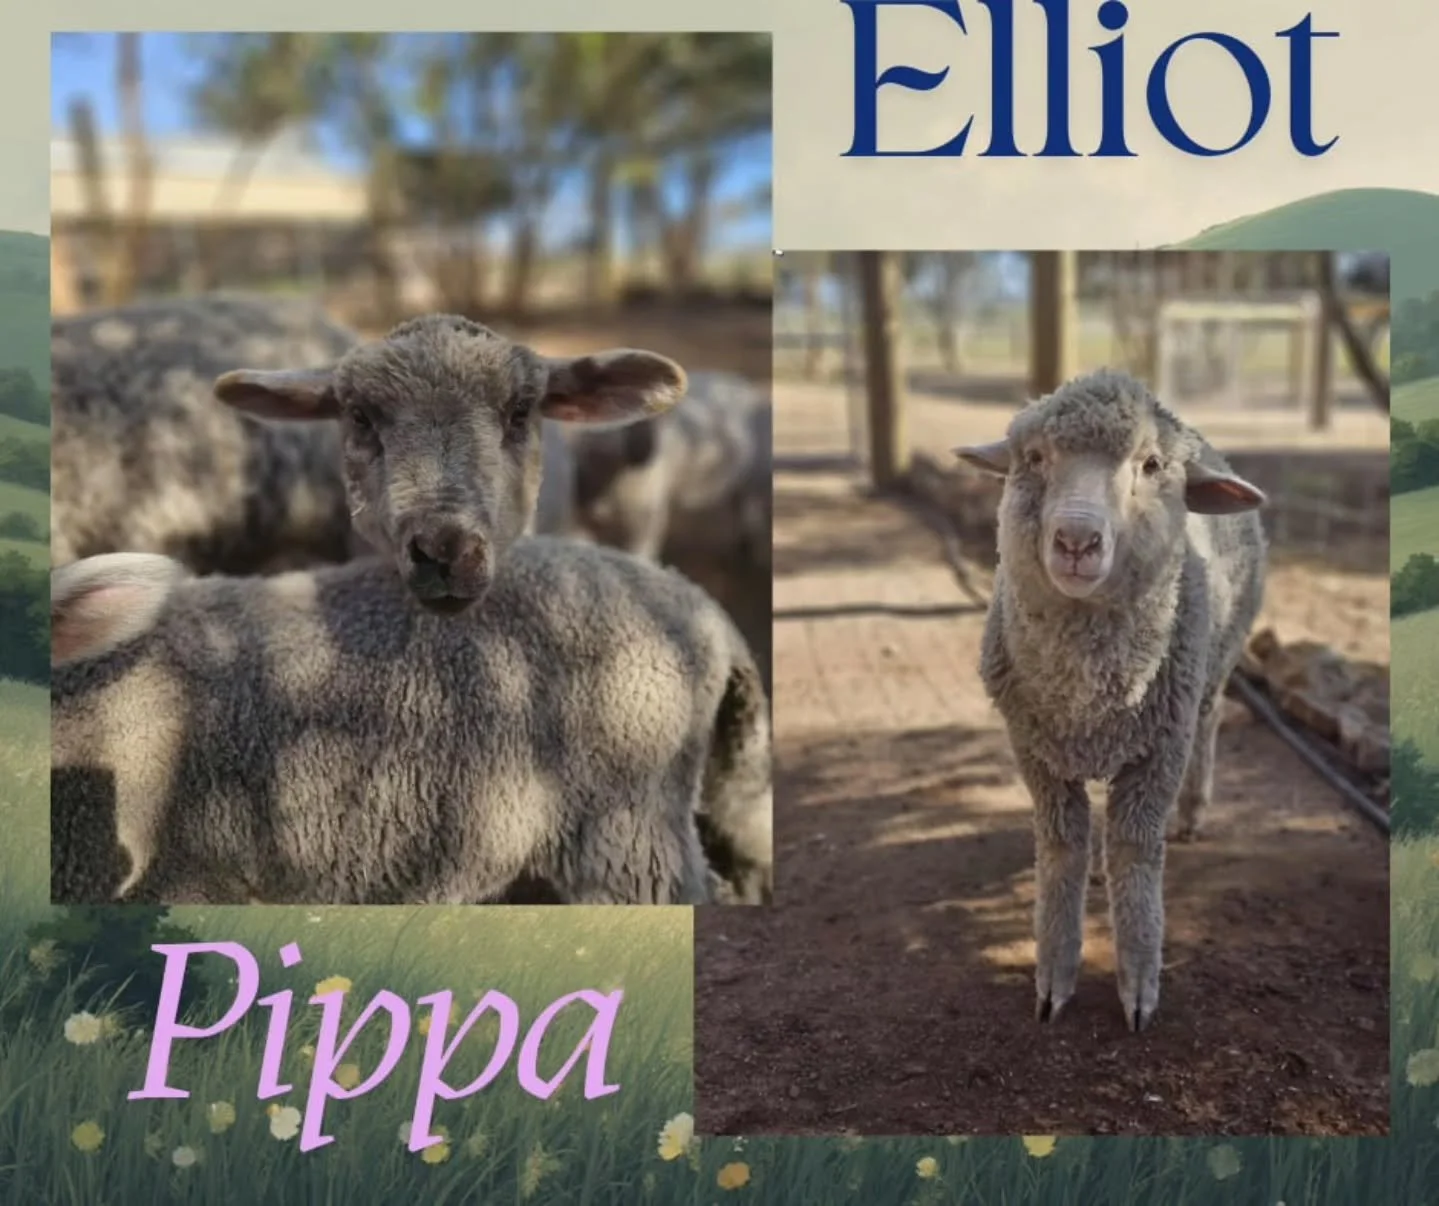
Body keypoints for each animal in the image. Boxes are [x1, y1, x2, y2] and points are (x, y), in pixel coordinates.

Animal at [954, 368, 1266, 1032]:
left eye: (1150, 465)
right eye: (1034, 458)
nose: (1077, 539)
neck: (1089, 687)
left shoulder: (1161, 750)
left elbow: (1137, 851)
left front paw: (1139, 985)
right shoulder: (1035, 750)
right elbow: (1062, 848)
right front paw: (1054, 976)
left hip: (1212, 673)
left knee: (1212, 720)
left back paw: (1194, 813)